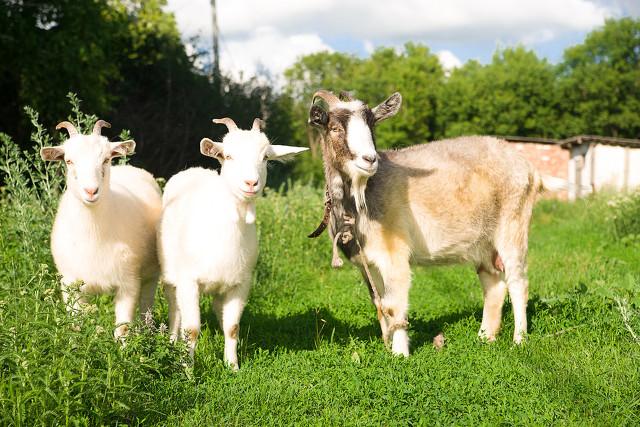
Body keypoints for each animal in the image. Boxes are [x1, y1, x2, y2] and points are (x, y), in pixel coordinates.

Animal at [41, 121, 161, 342]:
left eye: (105, 159)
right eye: (69, 160)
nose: (91, 191)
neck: (94, 233)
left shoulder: (128, 282)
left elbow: (122, 328)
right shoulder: (70, 284)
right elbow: (75, 324)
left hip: (151, 274)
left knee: (146, 304)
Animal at [160, 116, 310, 368]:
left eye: (266, 157)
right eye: (228, 156)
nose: (251, 183)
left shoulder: (240, 284)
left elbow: (232, 327)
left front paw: (233, 366)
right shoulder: (188, 281)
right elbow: (191, 330)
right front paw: (187, 368)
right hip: (171, 275)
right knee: (175, 309)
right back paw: (172, 341)